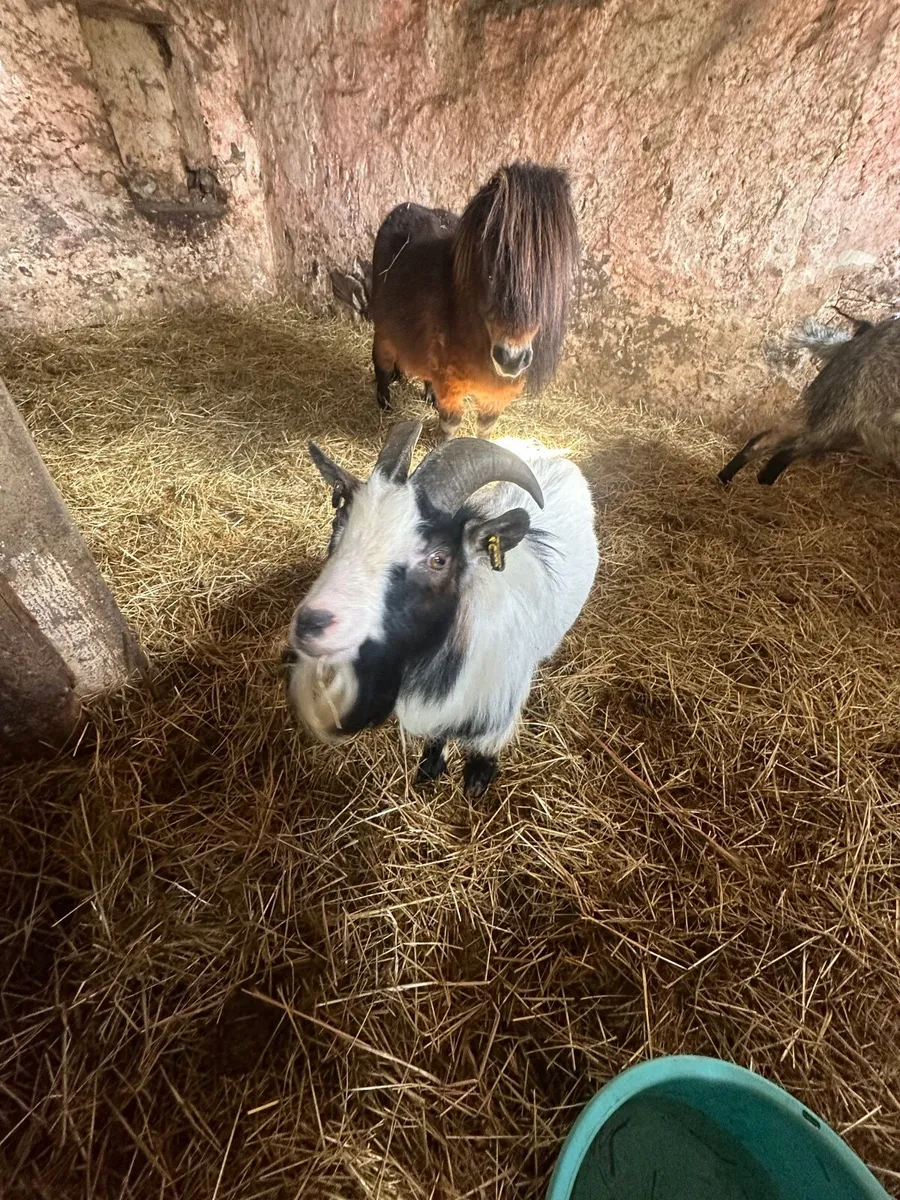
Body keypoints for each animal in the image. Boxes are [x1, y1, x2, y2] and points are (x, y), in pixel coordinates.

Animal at [282, 422, 598, 797]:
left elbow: (485, 747)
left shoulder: (498, 706)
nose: (311, 624)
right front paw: (430, 768)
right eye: (337, 525)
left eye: (439, 559)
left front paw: (477, 781)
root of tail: (552, 454)